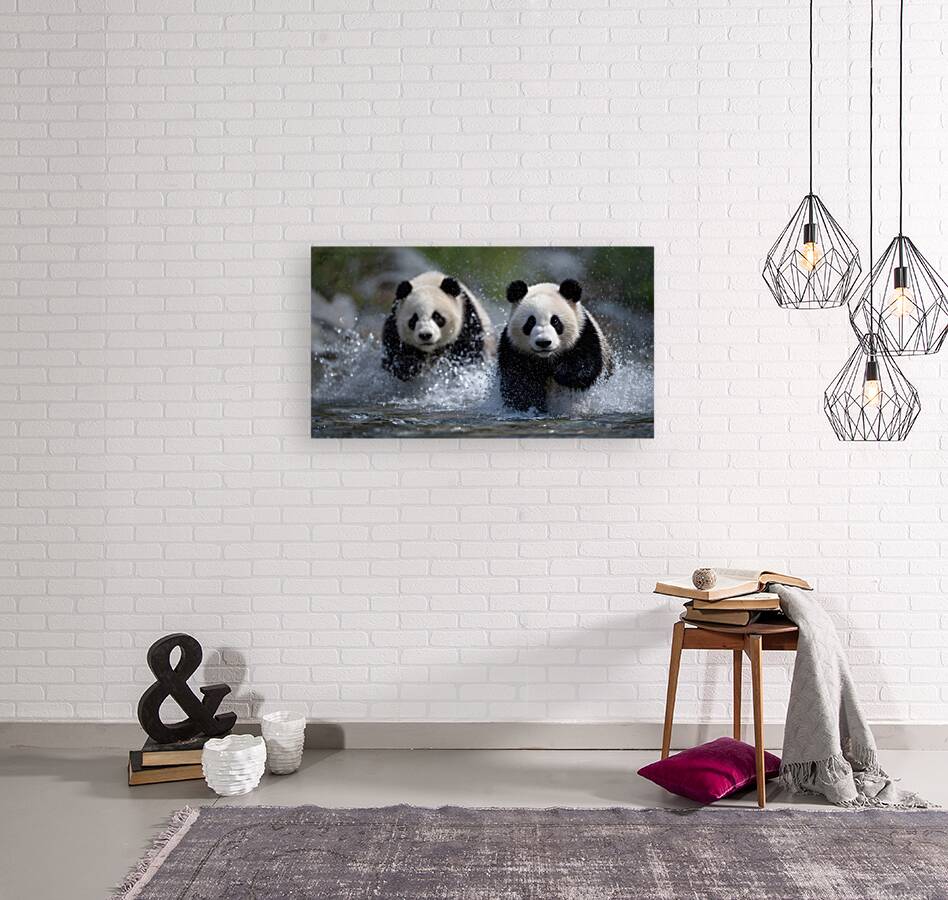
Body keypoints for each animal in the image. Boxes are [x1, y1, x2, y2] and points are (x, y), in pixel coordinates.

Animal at [498, 278, 613, 413]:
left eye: (555, 321)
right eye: (531, 322)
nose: (543, 342)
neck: (546, 358)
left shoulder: (583, 334)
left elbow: (585, 366)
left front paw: (560, 373)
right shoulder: (514, 349)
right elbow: (518, 383)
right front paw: (532, 406)